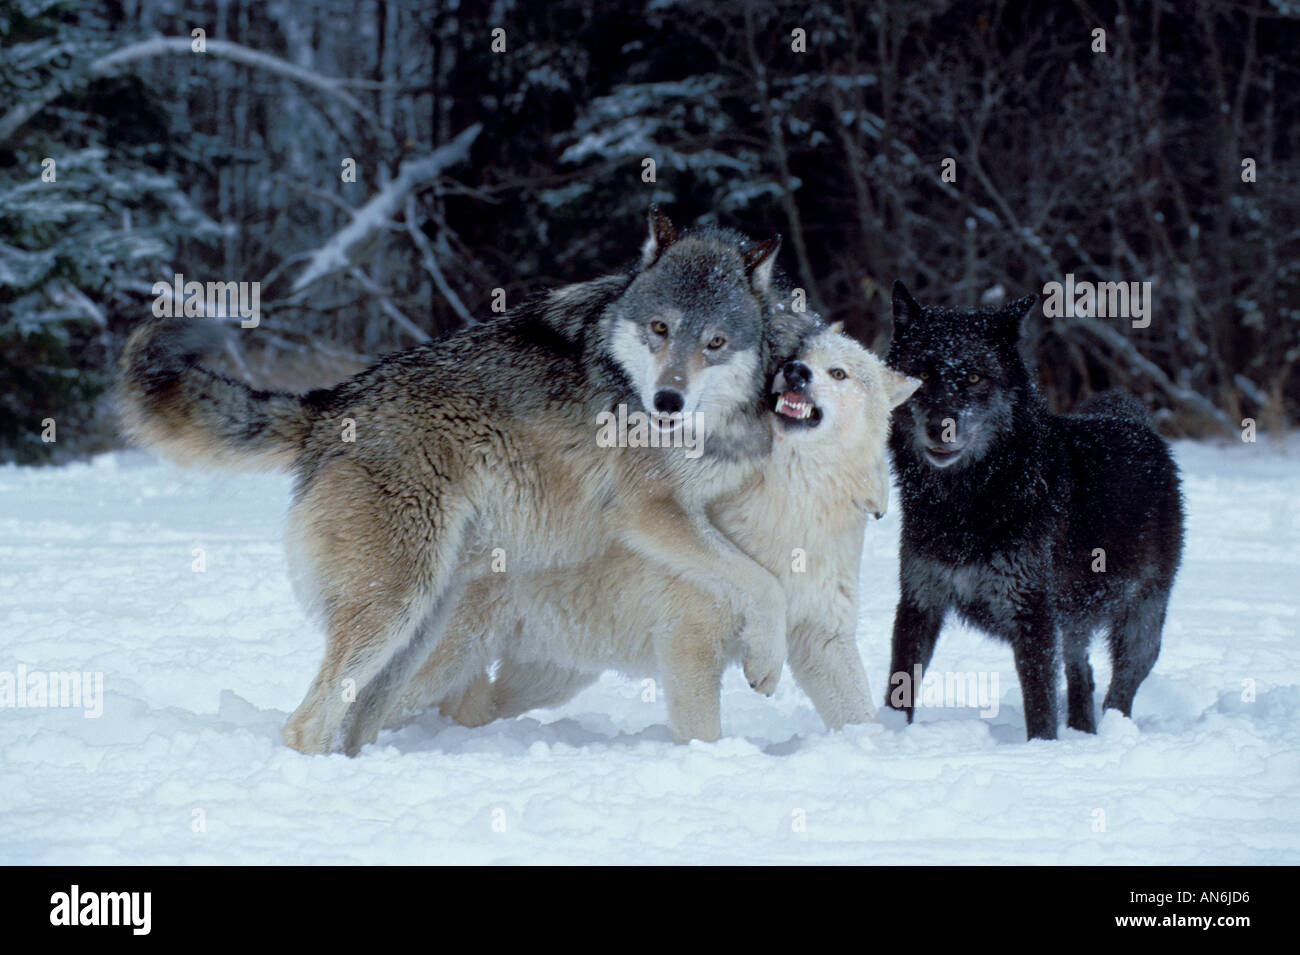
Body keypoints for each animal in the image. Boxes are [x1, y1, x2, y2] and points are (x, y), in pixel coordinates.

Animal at [119, 209, 811, 753]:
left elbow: (761, 572)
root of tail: (329, 402)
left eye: (715, 342)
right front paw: (766, 665)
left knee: (356, 722)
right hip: (395, 610)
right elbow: (765, 583)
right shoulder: (650, 510)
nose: (666, 401)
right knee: (307, 725)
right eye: (660, 329)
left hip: (420, 622)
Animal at [400, 324, 920, 743]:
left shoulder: (824, 639)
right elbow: (703, 734)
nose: (795, 372)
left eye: (838, 373)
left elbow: (861, 717)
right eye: (795, 357)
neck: (790, 511)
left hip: (548, 681)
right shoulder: (689, 644)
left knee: (471, 706)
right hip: (450, 662)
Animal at [883, 280, 1180, 743]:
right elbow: (900, 689)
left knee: (1119, 692)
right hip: (1073, 623)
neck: (967, 502)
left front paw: (1041, 752)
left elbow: (1040, 707)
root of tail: (1134, 421)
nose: (939, 426)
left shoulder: (1032, 615)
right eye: (925, 374)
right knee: (1083, 673)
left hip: (1140, 627)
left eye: (974, 376)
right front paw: (886, 734)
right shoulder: (919, 602)